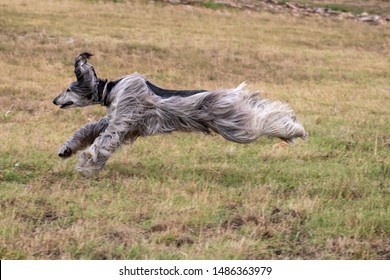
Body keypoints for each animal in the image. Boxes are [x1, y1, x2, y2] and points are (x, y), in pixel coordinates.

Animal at [53, 52, 308, 175]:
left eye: (68, 89)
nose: (54, 100)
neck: (111, 90)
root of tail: (230, 94)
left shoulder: (123, 118)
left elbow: (103, 141)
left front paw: (86, 163)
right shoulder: (121, 121)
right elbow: (89, 129)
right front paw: (67, 149)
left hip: (234, 125)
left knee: (266, 118)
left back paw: (296, 130)